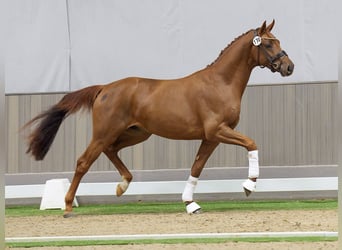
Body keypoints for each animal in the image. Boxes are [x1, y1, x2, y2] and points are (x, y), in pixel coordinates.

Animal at [24, 20, 294, 217]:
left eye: (278, 41)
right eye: (268, 44)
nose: (289, 67)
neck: (220, 83)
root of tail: (104, 88)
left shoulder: (211, 137)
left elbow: (197, 167)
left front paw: (190, 204)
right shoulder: (218, 130)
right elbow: (251, 143)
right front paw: (249, 185)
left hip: (136, 133)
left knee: (111, 151)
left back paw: (122, 186)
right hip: (104, 133)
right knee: (83, 162)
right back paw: (68, 206)